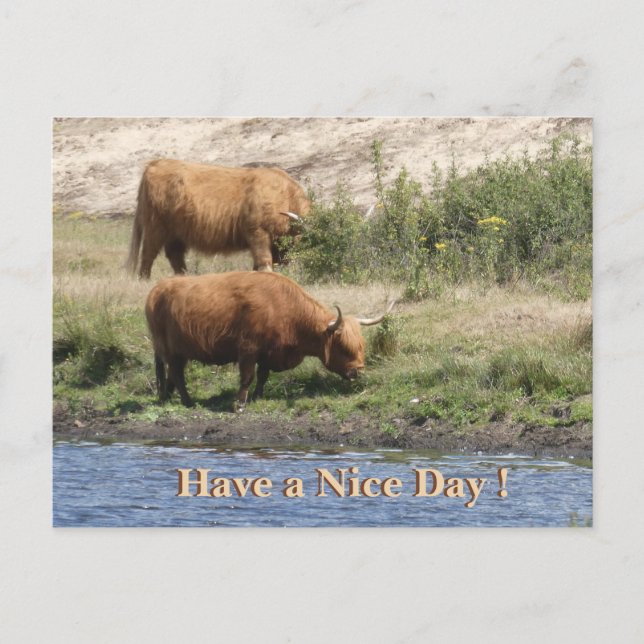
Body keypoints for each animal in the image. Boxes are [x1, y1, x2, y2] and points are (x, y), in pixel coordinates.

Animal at [126, 159, 310, 278]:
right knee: (148, 253)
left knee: (174, 255)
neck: (286, 197)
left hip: (176, 232)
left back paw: (184, 277)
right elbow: (264, 260)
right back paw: (144, 279)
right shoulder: (257, 232)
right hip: (155, 226)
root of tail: (155, 163)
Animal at [145, 271, 395, 411]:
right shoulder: (248, 349)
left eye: (361, 346)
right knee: (176, 374)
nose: (357, 372)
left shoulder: (268, 352)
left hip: (179, 352)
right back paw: (187, 401)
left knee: (171, 375)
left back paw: (168, 397)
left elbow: (263, 375)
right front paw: (239, 404)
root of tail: (156, 290)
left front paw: (258, 396)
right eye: (343, 347)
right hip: (169, 349)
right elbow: (248, 376)